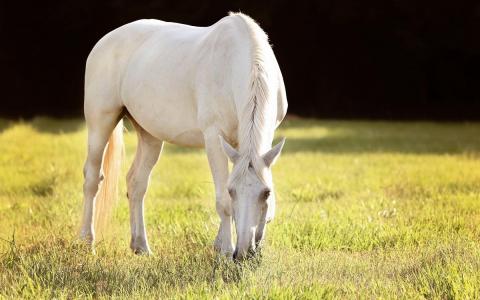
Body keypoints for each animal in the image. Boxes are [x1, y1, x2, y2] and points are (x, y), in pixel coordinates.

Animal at [80, 12, 286, 260]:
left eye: (266, 192)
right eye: (232, 191)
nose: (244, 253)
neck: (234, 64)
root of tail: (104, 41)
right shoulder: (213, 137)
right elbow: (222, 201)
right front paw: (225, 251)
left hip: (150, 134)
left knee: (136, 183)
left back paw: (141, 246)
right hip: (101, 121)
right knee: (92, 179)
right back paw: (86, 243)